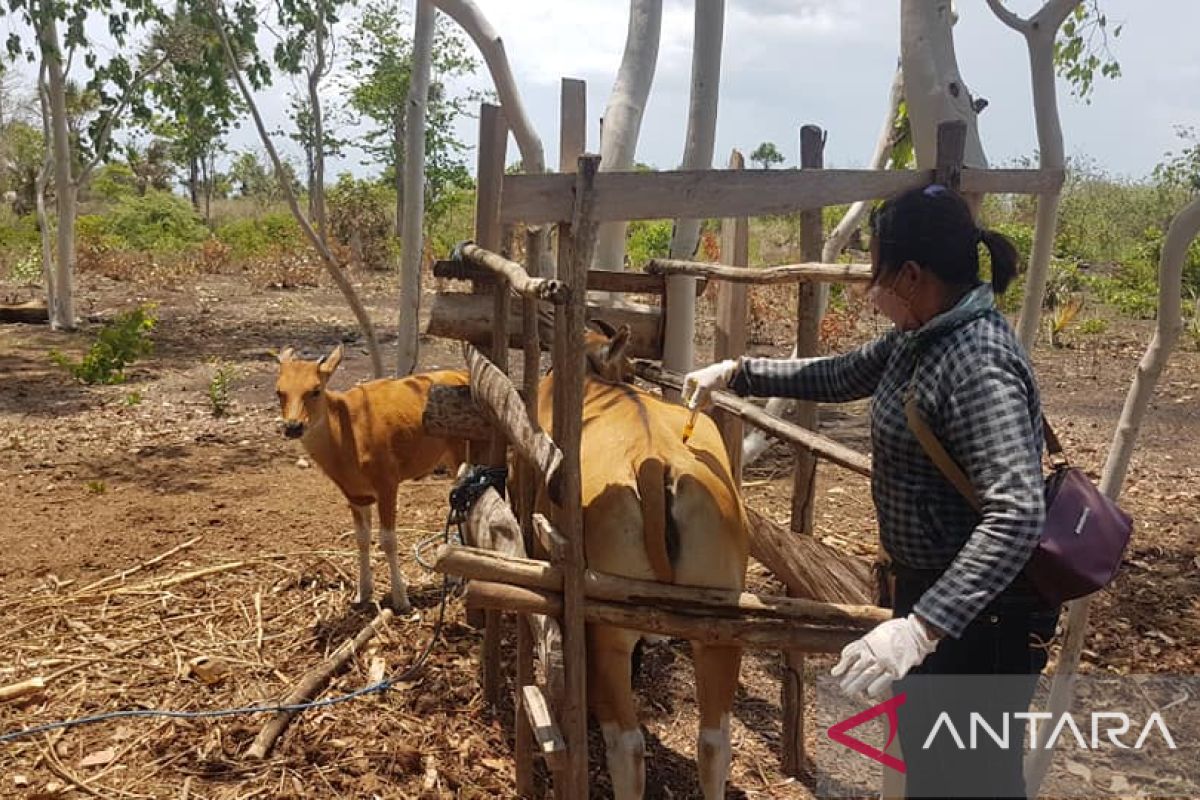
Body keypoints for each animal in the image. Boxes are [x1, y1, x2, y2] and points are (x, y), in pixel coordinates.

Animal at [276, 345, 468, 614]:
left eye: (315, 390)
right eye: (279, 392)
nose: (293, 426)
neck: (346, 437)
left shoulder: (387, 483)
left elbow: (387, 540)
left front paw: (401, 599)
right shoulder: (355, 493)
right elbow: (362, 538)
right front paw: (363, 592)